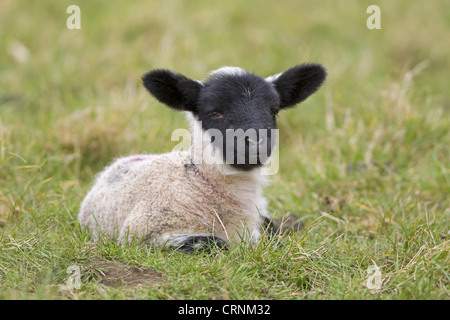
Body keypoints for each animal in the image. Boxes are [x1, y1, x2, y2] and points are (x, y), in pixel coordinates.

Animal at [76, 64, 324, 252]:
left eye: (273, 111)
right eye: (215, 112)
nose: (255, 142)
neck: (197, 184)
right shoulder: (141, 233)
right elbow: (214, 244)